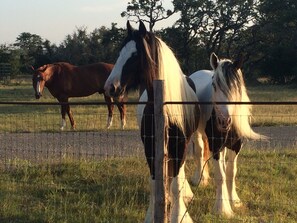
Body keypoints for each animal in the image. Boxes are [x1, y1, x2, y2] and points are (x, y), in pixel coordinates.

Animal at [104, 20, 199, 221]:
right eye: (120, 53)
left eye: (134, 55)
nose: (110, 87)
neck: (165, 107)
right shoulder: (150, 146)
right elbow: (155, 181)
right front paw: (153, 214)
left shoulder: (180, 145)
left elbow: (175, 182)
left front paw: (179, 215)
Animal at [188, 53, 264, 217]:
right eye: (214, 85)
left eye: (236, 87)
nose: (224, 121)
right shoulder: (216, 145)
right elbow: (220, 175)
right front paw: (221, 208)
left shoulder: (236, 146)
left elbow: (230, 172)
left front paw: (234, 200)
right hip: (198, 134)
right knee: (199, 152)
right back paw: (199, 180)